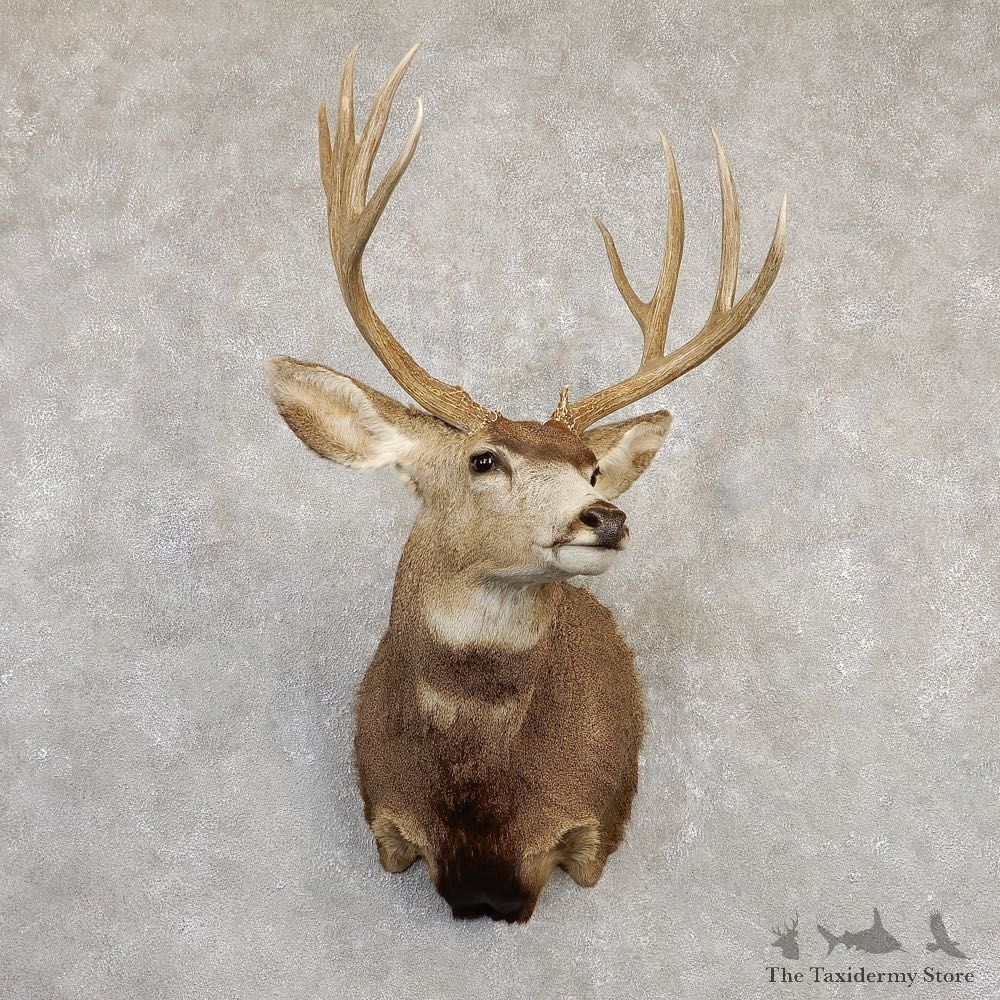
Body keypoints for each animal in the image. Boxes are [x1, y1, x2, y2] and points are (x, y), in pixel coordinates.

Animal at [265, 43, 786, 924]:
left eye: (590, 467)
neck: (482, 804)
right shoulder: (386, 821)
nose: (604, 516)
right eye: (483, 459)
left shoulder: (588, 825)